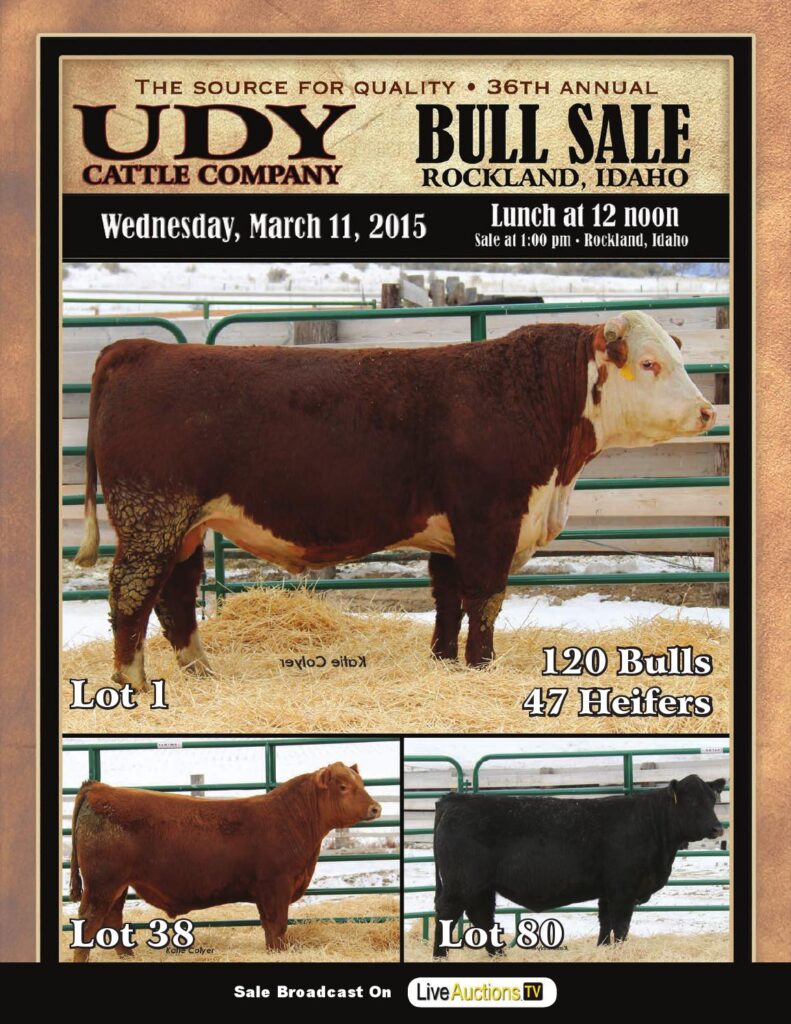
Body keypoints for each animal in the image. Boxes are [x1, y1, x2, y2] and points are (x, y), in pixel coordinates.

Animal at [68, 762, 381, 961]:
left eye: (361, 783)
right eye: (343, 786)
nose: (375, 807)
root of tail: (98, 788)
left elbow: (269, 929)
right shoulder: (276, 886)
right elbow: (278, 926)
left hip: (117, 886)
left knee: (114, 920)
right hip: (102, 885)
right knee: (89, 924)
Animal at [73, 312, 715, 689]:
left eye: (679, 359)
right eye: (650, 363)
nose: (708, 411)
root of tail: (140, 349)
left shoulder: (451, 532)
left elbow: (448, 600)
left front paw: (443, 661)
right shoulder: (489, 521)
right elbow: (485, 599)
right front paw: (483, 666)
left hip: (183, 525)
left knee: (174, 594)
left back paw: (201, 672)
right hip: (153, 516)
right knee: (131, 592)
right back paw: (132, 683)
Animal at [432, 775, 726, 956]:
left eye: (713, 800)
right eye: (692, 801)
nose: (717, 828)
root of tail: (455, 799)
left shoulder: (607, 890)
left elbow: (605, 924)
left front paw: (602, 951)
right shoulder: (623, 889)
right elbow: (621, 926)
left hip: (481, 886)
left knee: (481, 916)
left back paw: (500, 955)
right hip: (461, 883)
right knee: (448, 914)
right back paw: (440, 956)